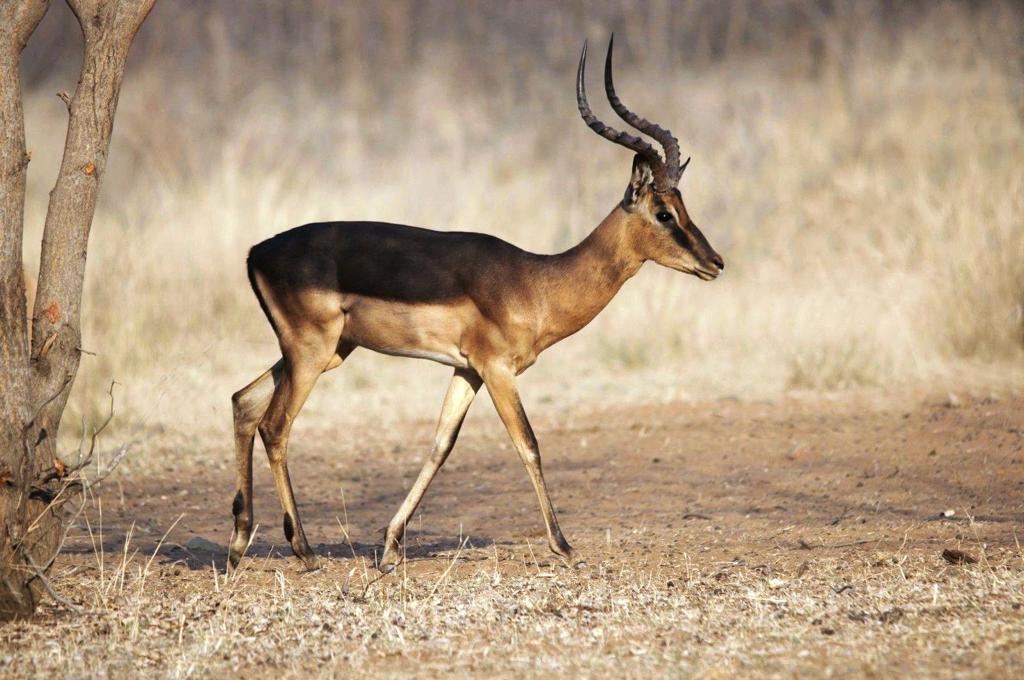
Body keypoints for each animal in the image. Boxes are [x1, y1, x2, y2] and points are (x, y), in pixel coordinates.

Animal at [228, 37, 724, 573]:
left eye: (684, 207)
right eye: (663, 212)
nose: (715, 262)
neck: (538, 280)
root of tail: (256, 252)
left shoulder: (467, 370)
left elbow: (440, 445)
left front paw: (391, 547)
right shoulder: (498, 369)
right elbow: (528, 444)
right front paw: (563, 545)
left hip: (325, 352)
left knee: (244, 402)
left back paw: (238, 544)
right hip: (312, 353)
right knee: (275, 425)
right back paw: (303, 549)